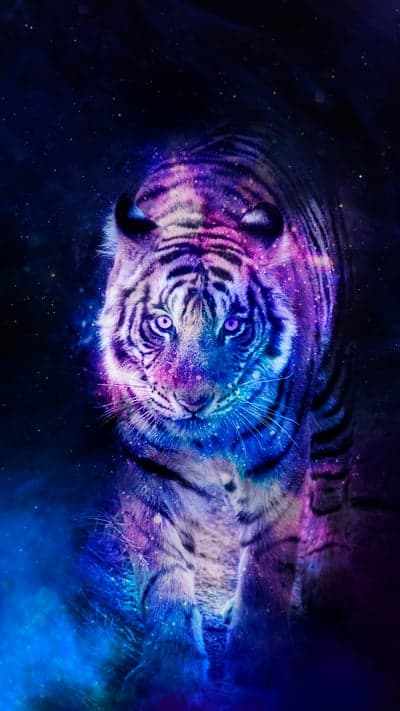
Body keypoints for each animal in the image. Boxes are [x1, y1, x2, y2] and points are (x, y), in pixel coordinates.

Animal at [98, 126, 353, 708]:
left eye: (234, 325)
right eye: (162, 324)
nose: (194, 400)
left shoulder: (276, 464)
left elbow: (266, 565)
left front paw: (256, 666)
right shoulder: (150, 470)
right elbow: (162, 572)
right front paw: (170, 674)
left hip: (330, 393)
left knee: (333, 480)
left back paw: (327, 582)